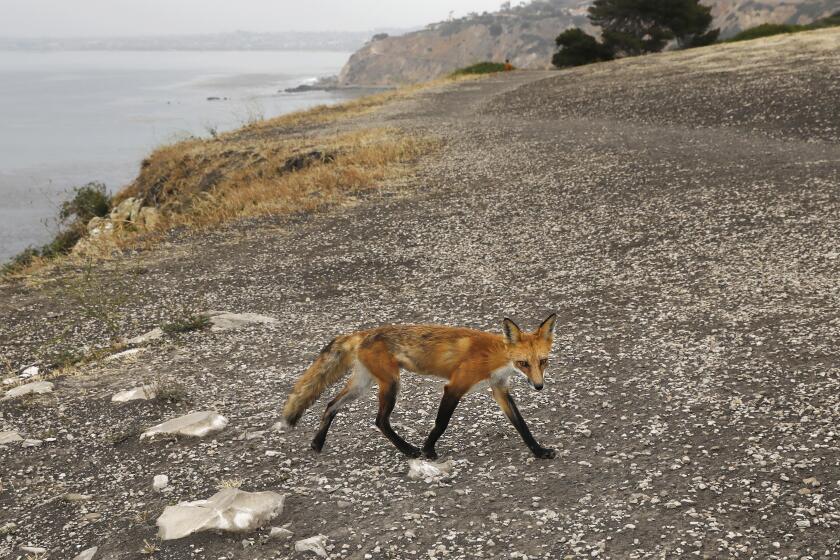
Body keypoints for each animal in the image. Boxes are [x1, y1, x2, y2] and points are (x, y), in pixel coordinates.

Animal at [284, 316, 556, 460]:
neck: (496, 357)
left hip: (362, 385)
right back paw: (409, 450)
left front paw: (539, 451)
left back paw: (317, 442)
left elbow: (521, 425)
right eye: (523, 363)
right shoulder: (455, 386)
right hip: (391, 384)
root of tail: (363, 333)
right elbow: (441, 423)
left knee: (330, 405)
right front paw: (428, 449)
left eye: (542, 361)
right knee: (380, 421)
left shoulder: (499, 389)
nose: (539, 386)